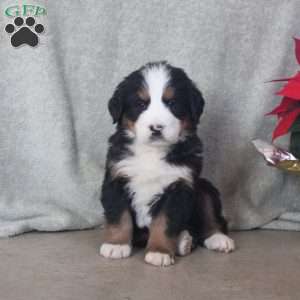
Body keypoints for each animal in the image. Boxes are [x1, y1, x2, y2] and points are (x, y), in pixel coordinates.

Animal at [99, 61, 236, 268]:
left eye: (172, 103)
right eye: (141, 104)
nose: (156, 128)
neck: (152, 152)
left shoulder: (178, 186)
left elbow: (164, 222)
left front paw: (159, 251)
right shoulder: (117, 178)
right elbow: (119, 216)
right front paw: (116, 245)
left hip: (204, 187)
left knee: (211, 215)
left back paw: (216, 239)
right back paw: (184, 241)